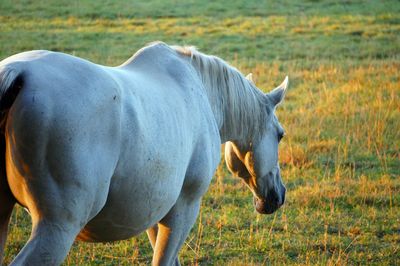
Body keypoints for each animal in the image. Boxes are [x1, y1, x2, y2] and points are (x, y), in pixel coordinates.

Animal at [0, 41, 288, 264]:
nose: (279, 195)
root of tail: (18, 73)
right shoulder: (184, 207)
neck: (200, 92)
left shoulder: (155, 211)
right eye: (280, 135)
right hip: (58, 227)